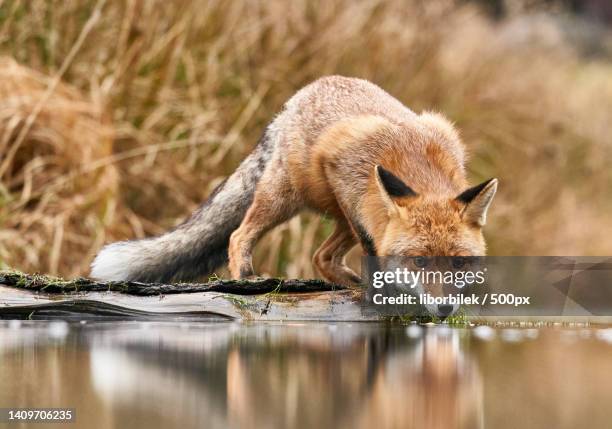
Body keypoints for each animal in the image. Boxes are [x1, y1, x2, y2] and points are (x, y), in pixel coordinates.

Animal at [91, 76, 494, 290]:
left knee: (321, 256)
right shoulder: (344, 174)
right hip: (284, 198)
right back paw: (245, 278)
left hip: (333, 213)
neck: (415, 161)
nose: (443, 309)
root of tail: (291, 103)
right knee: (239, 235)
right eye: (420, 262)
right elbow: (373, 250)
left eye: (459, 264)